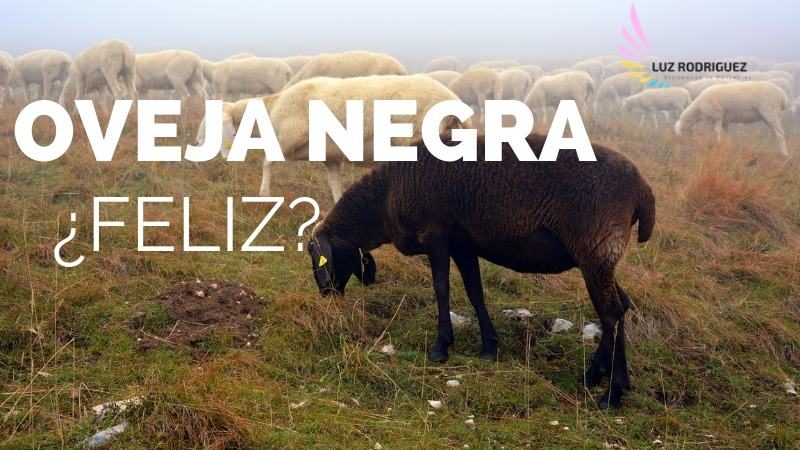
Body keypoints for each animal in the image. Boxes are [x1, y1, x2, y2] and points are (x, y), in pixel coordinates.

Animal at [195, 75, 468, 201]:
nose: (196, 144)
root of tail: (453, 104)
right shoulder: (330, 156)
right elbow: (335, 184)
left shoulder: (287, 138)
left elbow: (267, 162)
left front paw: (263, 195)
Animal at [307, 133, 656, 409]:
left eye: (316, 255)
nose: (325, 295)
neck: (387, 194)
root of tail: (643, 190)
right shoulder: (463, 244)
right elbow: (475, 291)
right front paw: (489, 347)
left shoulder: (436, 235)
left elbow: (441, 288)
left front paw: (440, 348)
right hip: (598, 257)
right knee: (621, 306)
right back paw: (596, 374)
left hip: (596, 250)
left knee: (611, 313)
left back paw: (612, 393)